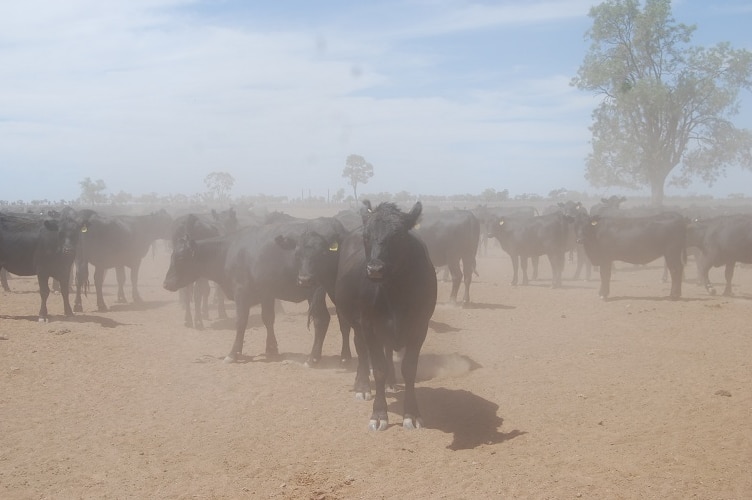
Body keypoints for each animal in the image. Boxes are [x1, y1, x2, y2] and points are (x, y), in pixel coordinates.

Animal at [163, 217, 348, 366]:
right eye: (172, 256)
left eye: (180, 258)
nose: (165, 284)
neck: (228, 251)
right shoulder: (266, 294)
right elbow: (268, 319)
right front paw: (271, 348)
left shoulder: (241, 294)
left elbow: (240, 322)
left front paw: (233, 354)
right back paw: (345, 357)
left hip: (314, 293)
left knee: (321, 319)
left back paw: (313, 358)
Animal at [334, 201, 434, 432]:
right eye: (367, 236)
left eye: (398, 236)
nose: (375, 269)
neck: (395, 292)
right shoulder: (369, 326)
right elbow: (378, 368)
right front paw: (379, 414)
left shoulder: (420, 328)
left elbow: (409, 368)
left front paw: (412, 413)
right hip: (356, 323)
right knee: (361, 351)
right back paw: (362, 385)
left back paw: (391, 381)